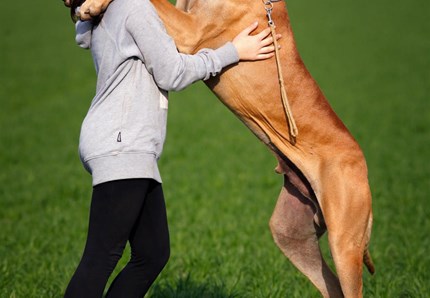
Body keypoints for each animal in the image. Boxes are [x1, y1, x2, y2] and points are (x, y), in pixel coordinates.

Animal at [72, 0, 374, 296]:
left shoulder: (190, 31)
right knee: (329, 285)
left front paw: (92, 5)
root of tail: (364, 168)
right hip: (290, 234)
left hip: (344, 243)